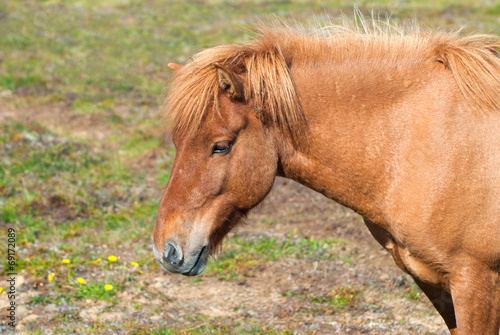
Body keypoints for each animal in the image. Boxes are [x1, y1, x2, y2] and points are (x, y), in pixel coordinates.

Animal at [151, 21, 500, 335]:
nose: (166, 250)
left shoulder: (476, 283)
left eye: (221, 145)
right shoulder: (435, 283)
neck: (420, 143)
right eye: (176, 141)